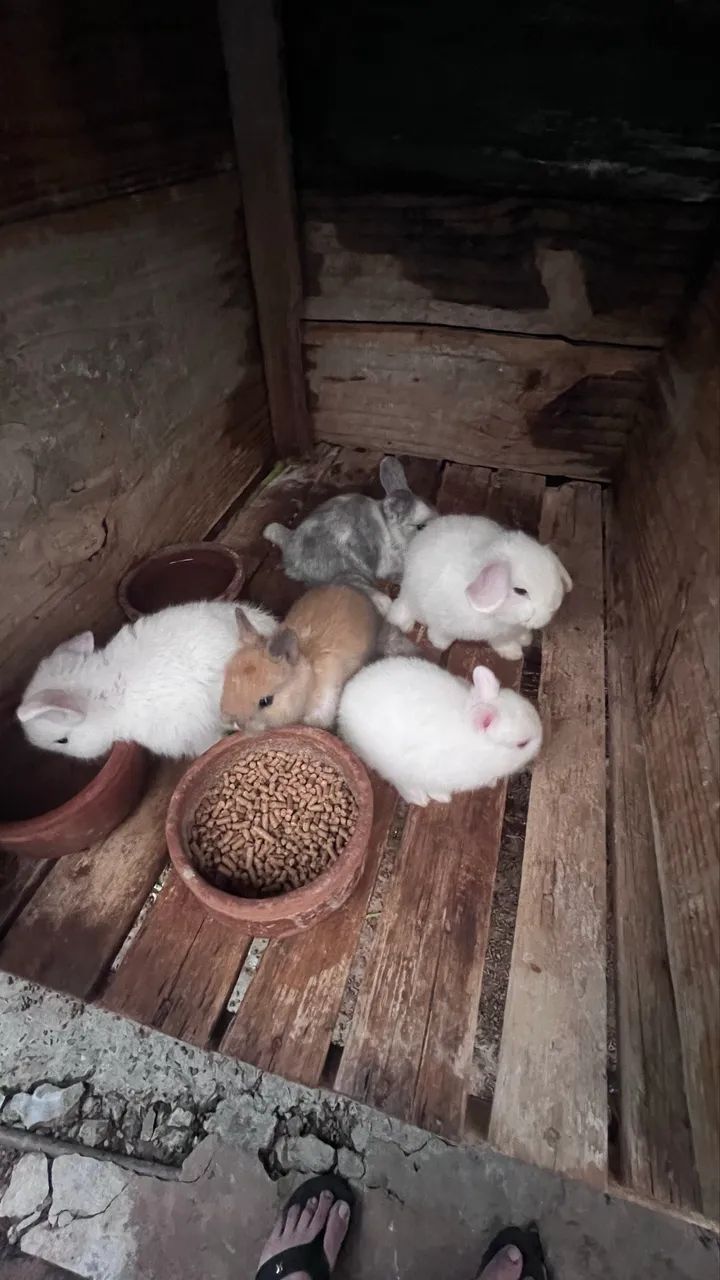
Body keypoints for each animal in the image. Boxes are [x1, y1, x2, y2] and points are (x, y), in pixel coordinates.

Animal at [387, 514, 572, 658]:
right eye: (520, 591)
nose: (549, 611)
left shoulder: (504, 633)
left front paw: (523, 641)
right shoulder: (443, 622)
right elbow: (440, 635)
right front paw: (514, 653)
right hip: (410, 597)